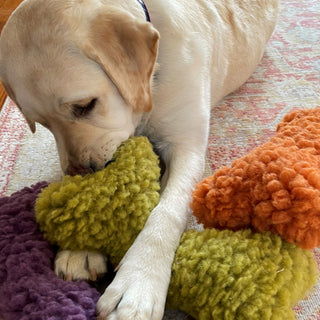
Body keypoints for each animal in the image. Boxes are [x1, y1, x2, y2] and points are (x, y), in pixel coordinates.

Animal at [0, 1, 278, 318]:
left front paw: (139, 281)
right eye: (42, 124)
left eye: (85, 106)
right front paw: (80, 249)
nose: (81, 172)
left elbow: (167, 212)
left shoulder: (187, 147)